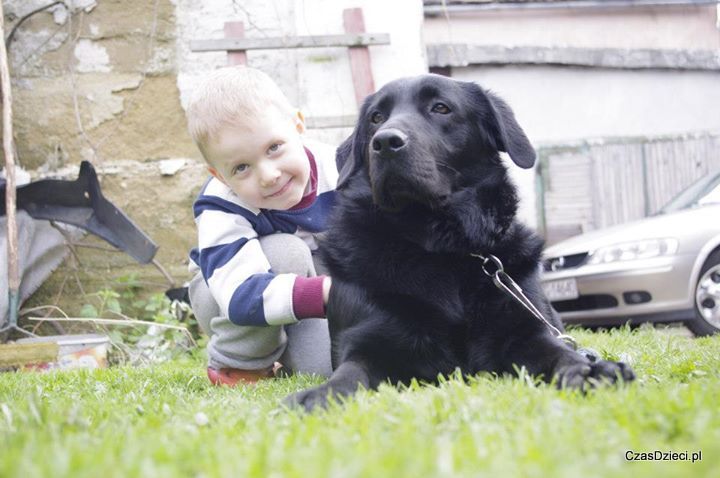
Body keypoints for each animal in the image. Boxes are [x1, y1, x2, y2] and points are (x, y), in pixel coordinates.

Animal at [284, 74, 632, 410]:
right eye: (376, 117)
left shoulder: (524, 331)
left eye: (441, 108)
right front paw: (321, 395)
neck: (440, 247)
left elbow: (558, 352)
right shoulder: (367, 342)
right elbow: (350, 372)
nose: (384, 141)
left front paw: (591, 371)